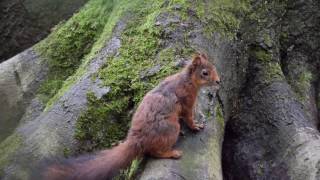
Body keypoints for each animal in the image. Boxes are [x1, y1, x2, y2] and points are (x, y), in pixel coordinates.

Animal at [43, 51, 220, 179]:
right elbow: (188, 117)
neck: (188, 81)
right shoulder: (187, 101)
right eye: (205, 72)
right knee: (155, 152)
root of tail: (137, 140)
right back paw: (172, 152)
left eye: (214, 66)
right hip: (170, 128)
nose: (218, 81)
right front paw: (195, 126)